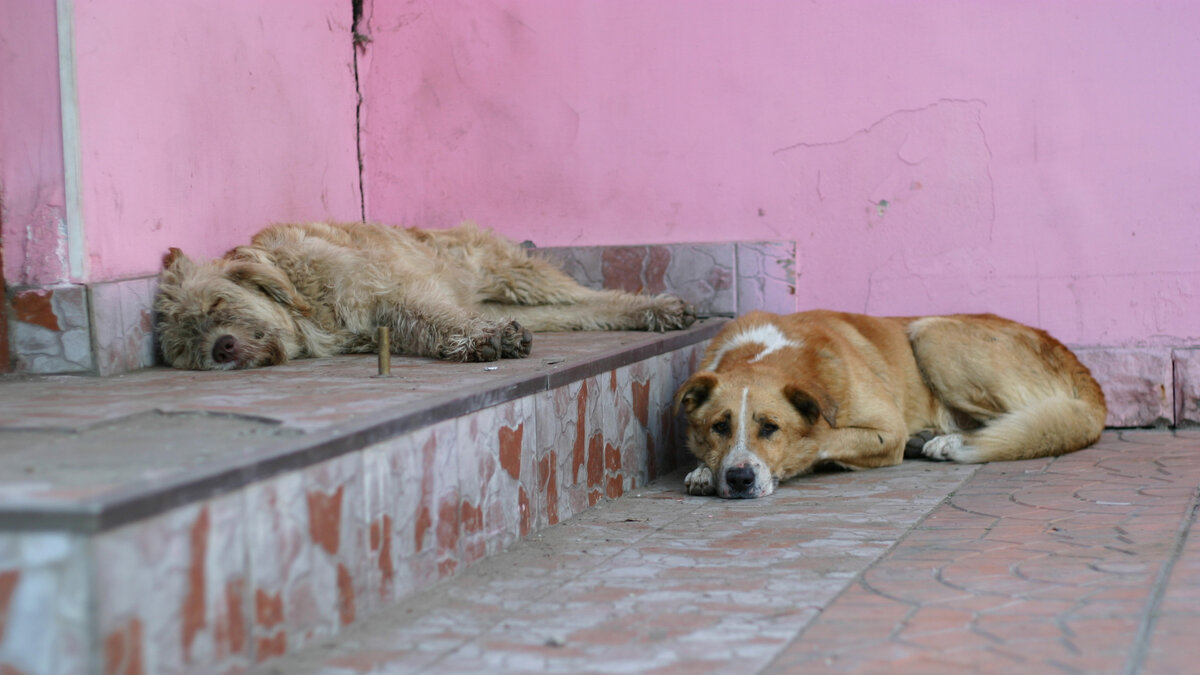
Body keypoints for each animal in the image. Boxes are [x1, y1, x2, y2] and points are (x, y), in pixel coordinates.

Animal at [152, 220, 696, 367]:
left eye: (218, 304)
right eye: (187, 348)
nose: (221, 349)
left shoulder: (393, 291)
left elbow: (433, 315)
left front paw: (485, 340)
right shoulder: (383, 322)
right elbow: (429, 328)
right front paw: (484, 341)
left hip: (516, 274)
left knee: (588, 293)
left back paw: (659, 306)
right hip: (534, 308)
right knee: (587, 310)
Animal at [676, 309, 1104, 494]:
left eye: (770, 427)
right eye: (720, 426)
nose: (739, 479)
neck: (765, 352)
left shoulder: (889, 429)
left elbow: (824, 437)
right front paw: (703, 470)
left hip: (932, 335)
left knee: (1017, 424)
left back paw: (949, 443)